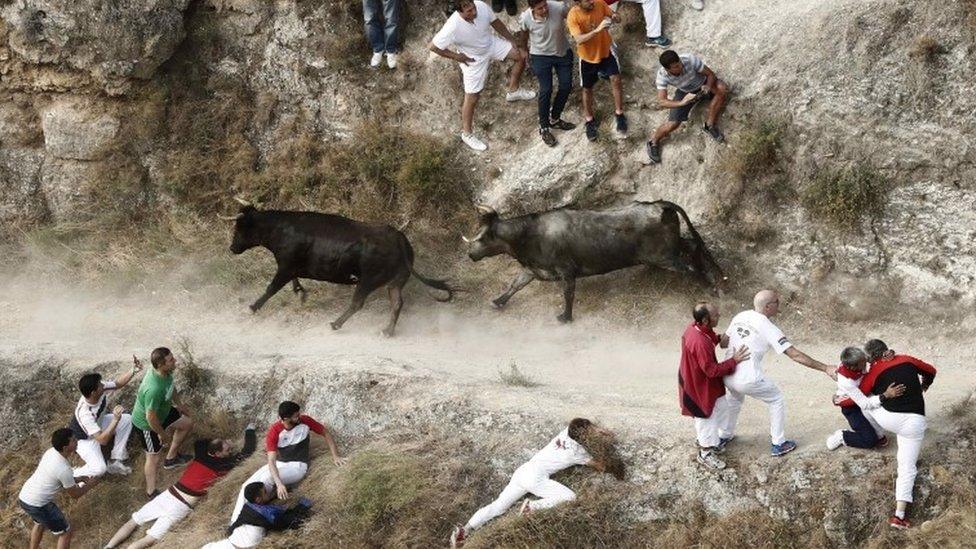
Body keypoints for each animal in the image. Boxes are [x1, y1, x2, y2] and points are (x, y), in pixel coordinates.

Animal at [228, 206, 454, 334]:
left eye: (239, 228)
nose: (232, 248)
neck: (280, 229)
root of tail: (398, 237)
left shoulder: (285, 266)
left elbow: (271, 288)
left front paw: (252, 307)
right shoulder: (290, 268)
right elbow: (293, 281)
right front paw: (300, 293)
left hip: (368, 279)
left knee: (358, 303)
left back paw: (336, 324)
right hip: (395, 281)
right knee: (397, 303)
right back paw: (387, 331)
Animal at [464, 200, 724, 322]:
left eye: (484, 237)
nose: (470, 254)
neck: (529, 233)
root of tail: (660, 204)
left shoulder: (566, 270)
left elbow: (568, 294)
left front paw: (565, 318)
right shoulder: (533, 269)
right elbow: (515, 285)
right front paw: (497, 302)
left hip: (664, 256)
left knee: (689, 267)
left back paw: (712, 287)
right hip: (672, 247)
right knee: (693, 246)